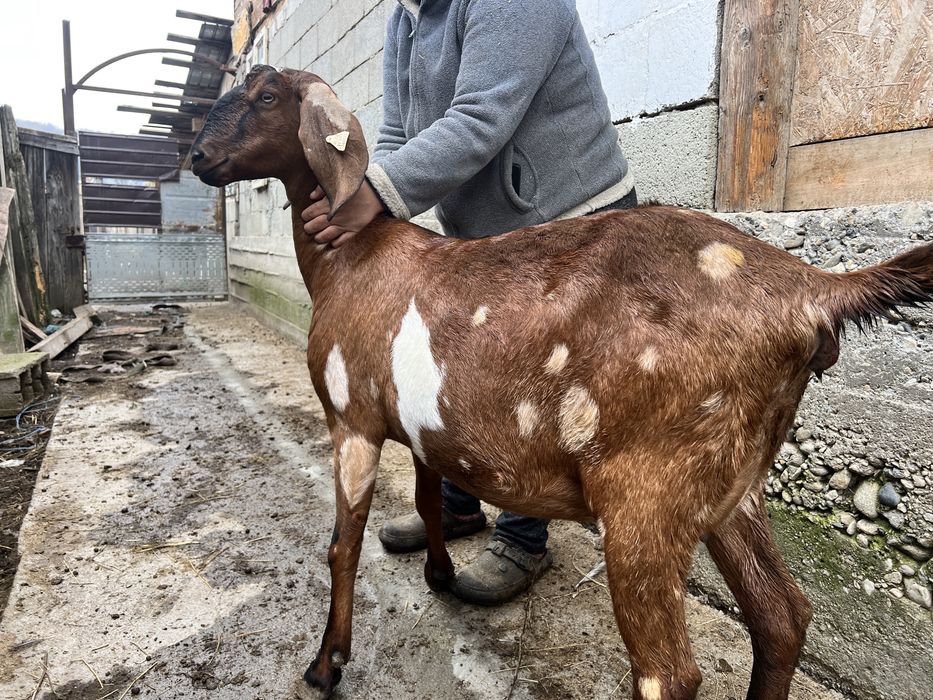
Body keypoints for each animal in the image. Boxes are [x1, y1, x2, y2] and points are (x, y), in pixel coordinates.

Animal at [190, 65, 933, 700]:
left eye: (264, 96)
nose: (197, 158)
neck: (349, 259)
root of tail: (809, 291)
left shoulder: (352, 420)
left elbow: (341, 546)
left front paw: (326, 666)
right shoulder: (421, 426)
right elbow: (429, 500)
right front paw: (439, 574)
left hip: (646, 493)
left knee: (671, 675)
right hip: (732, 484)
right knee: (782, 616)